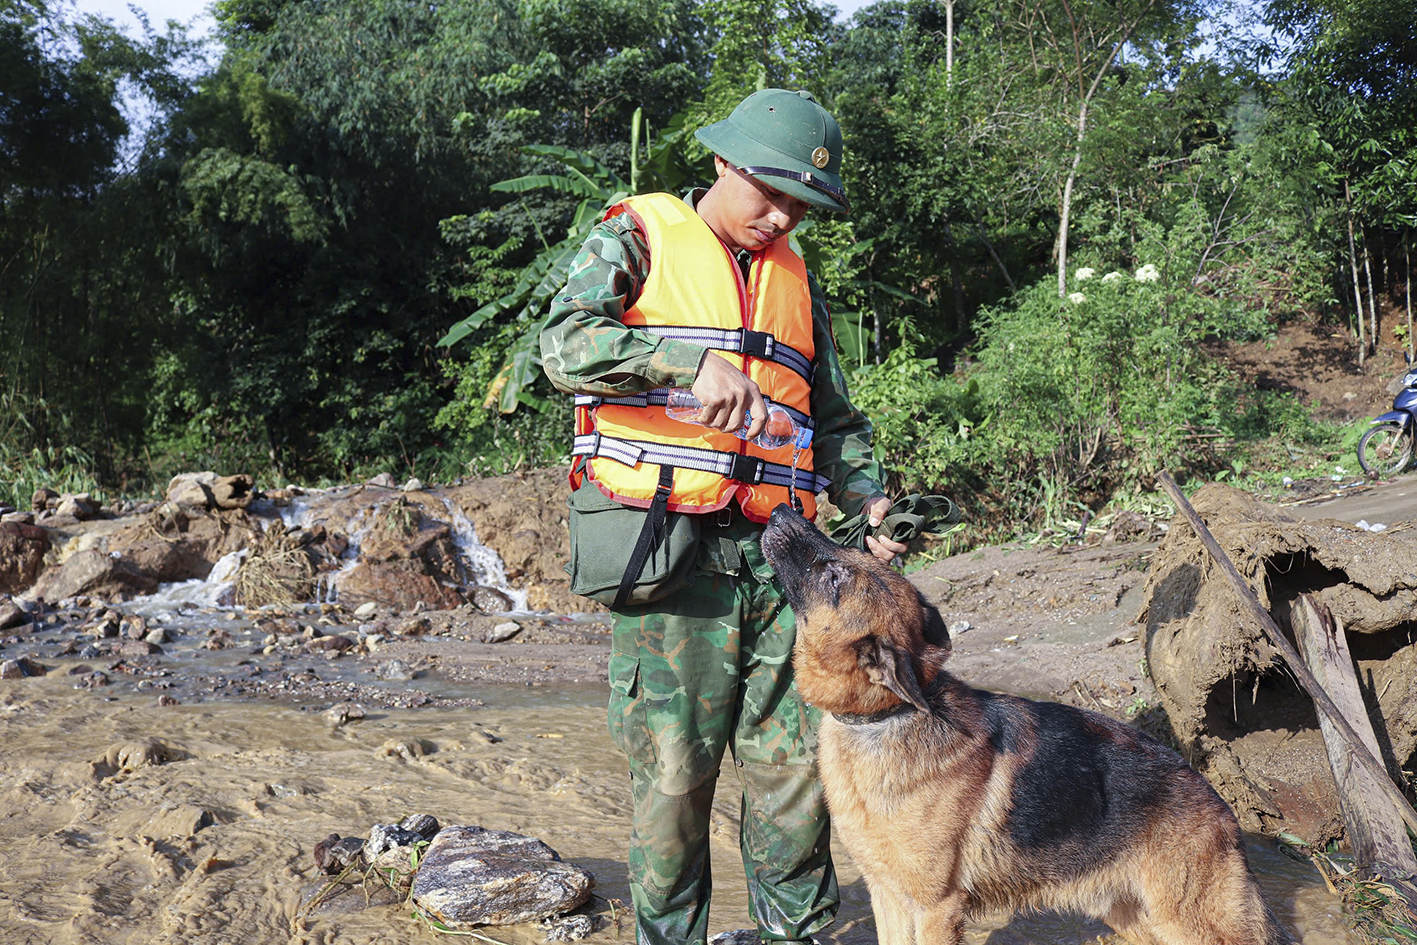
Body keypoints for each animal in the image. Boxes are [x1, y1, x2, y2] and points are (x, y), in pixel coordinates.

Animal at [765, 507, 1297, 945]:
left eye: (835, 575)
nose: (781, 512)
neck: (884, 716)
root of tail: (1218, 801)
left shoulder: (937, 909)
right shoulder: (888, 896)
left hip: (1191, 922)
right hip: (1134, 917)